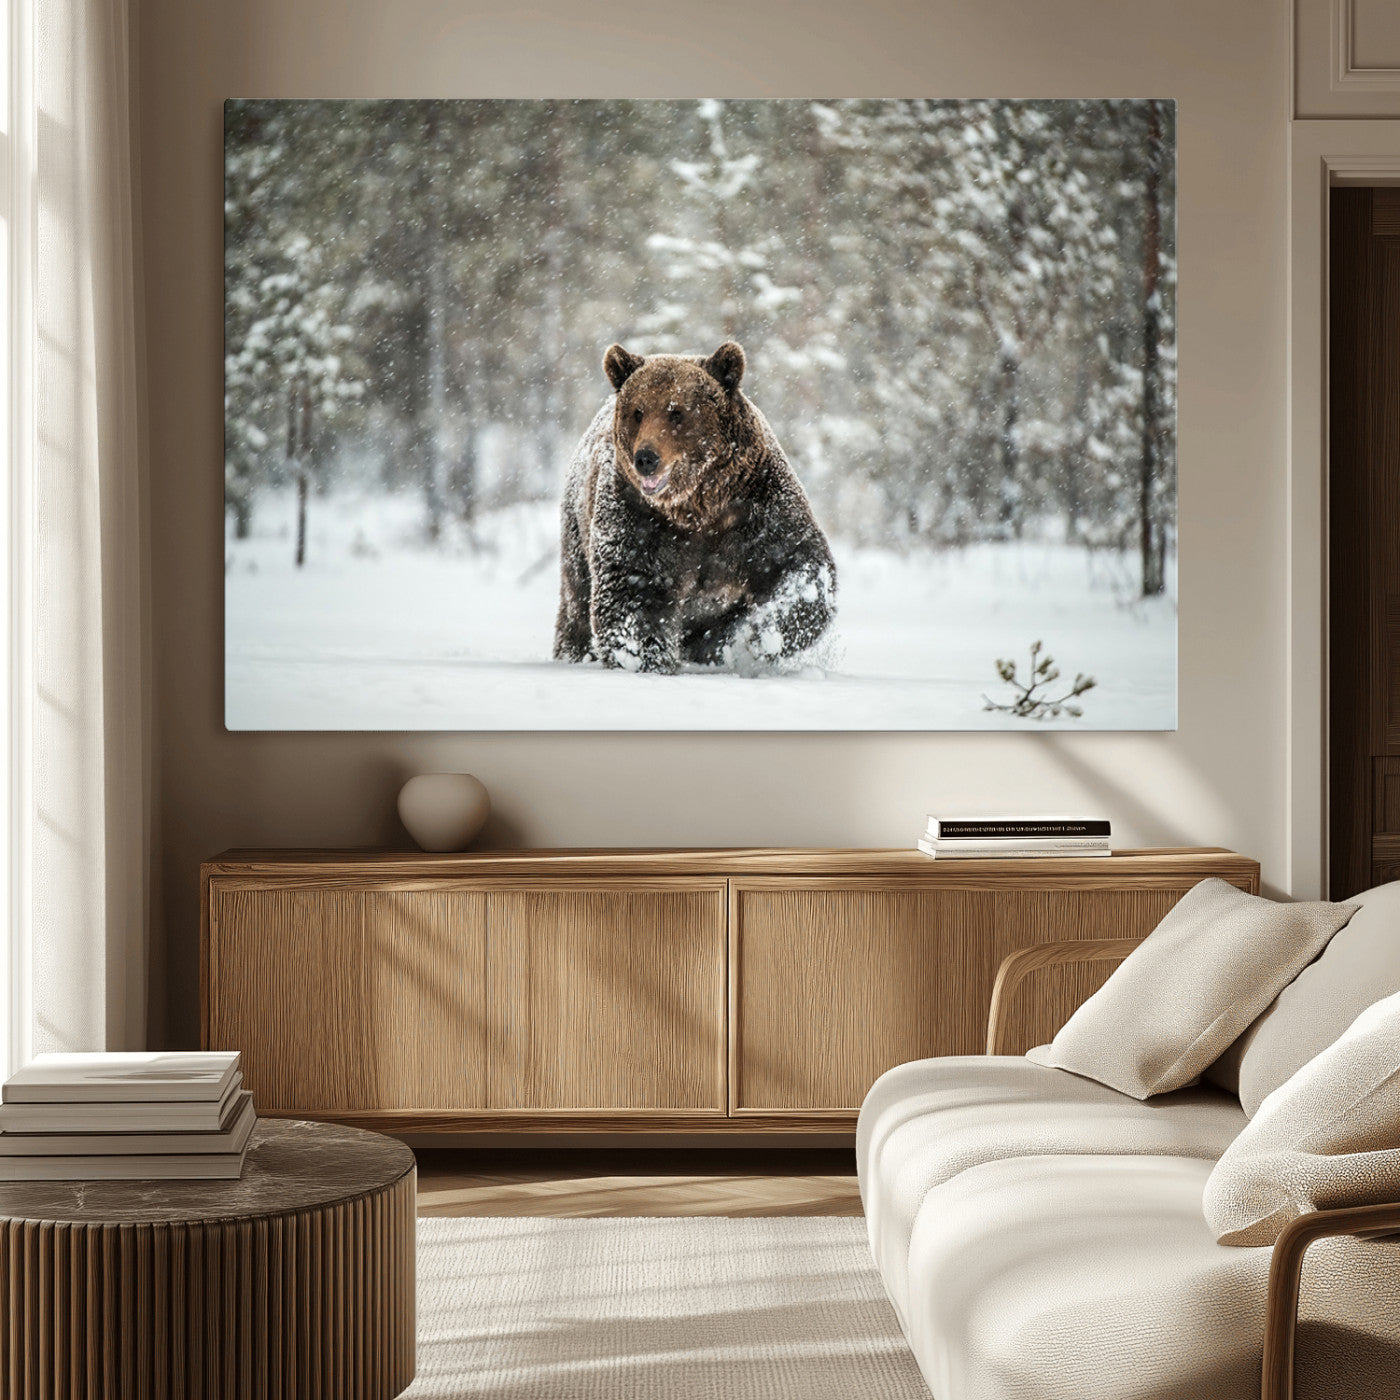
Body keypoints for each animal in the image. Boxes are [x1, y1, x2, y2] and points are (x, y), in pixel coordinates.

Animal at [553, 341, 836, 675]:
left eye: (676, 412)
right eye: (638, 412)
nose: (646, 458)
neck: (698, 505)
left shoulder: (757, 506)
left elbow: (799, 566)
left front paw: (757, 637)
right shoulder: (639, 517)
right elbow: (632, 589)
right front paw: (646, 659)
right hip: (577, 528)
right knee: (577, 602)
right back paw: (575, 652)